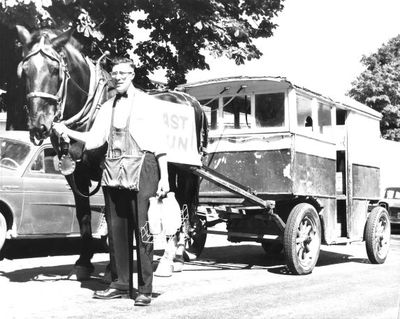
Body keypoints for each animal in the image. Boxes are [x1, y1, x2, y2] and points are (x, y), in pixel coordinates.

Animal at [16, 25, 208, 280]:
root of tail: (190, 100)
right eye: (24, 71)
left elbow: (110, 214)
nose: (39, 126)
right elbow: (84, 216)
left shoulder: (109, 170)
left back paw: (171, 258)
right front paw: (83, 262)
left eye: (55, 70)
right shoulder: (76, 175)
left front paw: (111, 267)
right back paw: (176, 254)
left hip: (186, 170)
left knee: (185, 206)